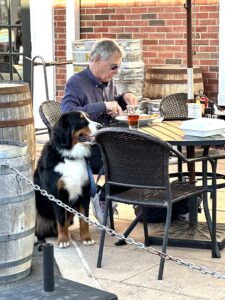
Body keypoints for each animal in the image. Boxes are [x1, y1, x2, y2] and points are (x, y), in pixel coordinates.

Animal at [34, 111, 101, 247]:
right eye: (82, 121)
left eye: (88, 117)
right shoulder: (57, 195)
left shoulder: (84, 193)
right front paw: (63, 240)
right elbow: (61, 220)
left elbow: (84, 220)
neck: (71, 157)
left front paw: (86, 238)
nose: (101, 126)